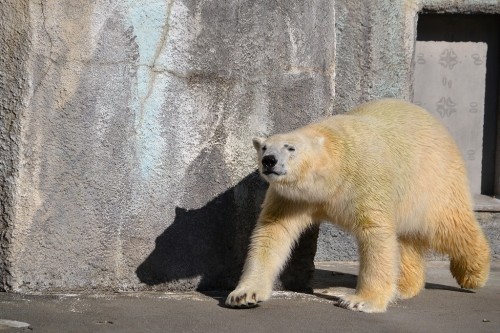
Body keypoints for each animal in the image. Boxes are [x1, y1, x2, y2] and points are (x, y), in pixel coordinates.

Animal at [228, 98, 492, 312]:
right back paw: (403, 287)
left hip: (432, 181)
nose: (269, 161)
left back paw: (473, 274)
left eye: (290, 148)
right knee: (406, 241)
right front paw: (244, 295)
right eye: (264, 147)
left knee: (449, 225)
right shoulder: (293, 197)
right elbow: (273, 231)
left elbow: (375, 234)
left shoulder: (365, 178)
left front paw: (359, 301)